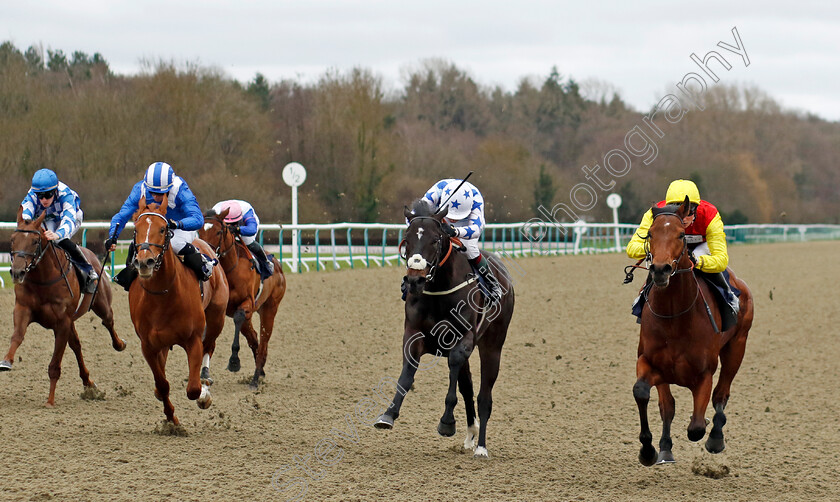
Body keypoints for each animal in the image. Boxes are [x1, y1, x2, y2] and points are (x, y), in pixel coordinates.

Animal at [1, 206, 126, 406]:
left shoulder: (62, 322)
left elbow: (55, 364)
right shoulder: (23, 309)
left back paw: (119, 344)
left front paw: (50, 400)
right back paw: (89, 384)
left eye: (35, 241)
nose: (17, 272)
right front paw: (6, 361)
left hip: (101, 304)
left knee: (108, 321)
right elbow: (17, 336)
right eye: (13, 239)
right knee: (76, 345)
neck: (43, 279)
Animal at [129, 196, 228, 424]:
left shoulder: (193, 339)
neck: (162, 295)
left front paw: (203, 395)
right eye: (136, 228)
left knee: (209, 346)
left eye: (163, 228)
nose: (145, 262)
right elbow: (162, 384)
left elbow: (193, 389)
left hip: (216, 318)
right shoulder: (148, 345)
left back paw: (205, 383)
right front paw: (171, 420)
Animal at [199, 208, 288, 388]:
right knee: (254, 338)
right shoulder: (216, 308)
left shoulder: (246, 303)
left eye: (219, 231)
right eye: (199, 231)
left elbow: (238, 319)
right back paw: (260, 371)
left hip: (269, 308)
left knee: (263, 341)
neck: (230, 269)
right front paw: (203, 372)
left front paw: (234, 361)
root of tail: (278, 266)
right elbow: (208, 336)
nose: (206, 254)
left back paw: (255, 378)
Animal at [376, 200, 520, 458]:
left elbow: (454, 369)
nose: (414, 280)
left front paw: (447, 422)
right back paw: (471, 434)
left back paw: (481, 447)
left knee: (484, 397)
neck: (439, 288)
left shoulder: (463, 339)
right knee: (468, 388)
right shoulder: (413, 335)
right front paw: (388, 414)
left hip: (493, 345)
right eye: (407, 239)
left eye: (435, 239)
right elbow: (407, 374)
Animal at [636, 197, 756, 466]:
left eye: (681, 234)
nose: (660, 269)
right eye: (650, 233)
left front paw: (709, 430)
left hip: (737, 346)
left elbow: (697, 427)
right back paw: (665, 449)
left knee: (721, 394)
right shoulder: (651, 363)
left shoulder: (703, 374)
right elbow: (647, 395)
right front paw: (650, 450)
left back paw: (716, 437)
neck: (674, 317)